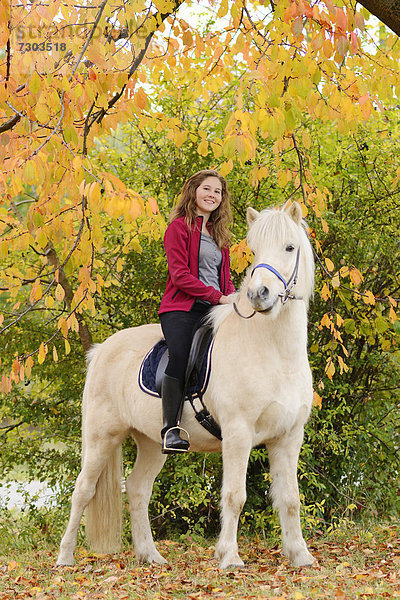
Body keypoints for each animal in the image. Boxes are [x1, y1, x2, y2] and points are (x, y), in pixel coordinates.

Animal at [57, 200, 318, 568]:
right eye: (254, 250)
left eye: (290, 247)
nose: (259, 294)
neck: (270, 350)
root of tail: (101, 350)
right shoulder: (238, 433)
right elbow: (235, 495)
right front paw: (229, 557)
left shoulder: (289, 436)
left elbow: (291, 498)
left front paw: (300, 555)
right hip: (101, 437)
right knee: (83, 490)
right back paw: (64, 557)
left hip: (153, 442)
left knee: (137, 489)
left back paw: (150, 556)